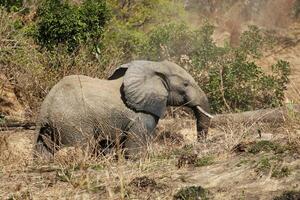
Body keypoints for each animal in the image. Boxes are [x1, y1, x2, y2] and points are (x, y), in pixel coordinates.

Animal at [34, 59, 212, 158]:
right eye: (186, 84)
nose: (198, 145)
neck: (154, 67)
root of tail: (45, 108)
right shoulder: (142, 114)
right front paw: (137, 160)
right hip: (73, 123)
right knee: (80, 146)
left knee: (42, 150)